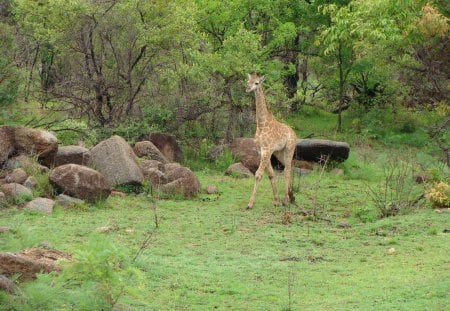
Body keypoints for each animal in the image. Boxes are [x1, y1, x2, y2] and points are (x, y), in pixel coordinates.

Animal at [244, 73, 298, 210]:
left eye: (257, 83)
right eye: (248, 81)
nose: (248, 88)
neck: (262, 124)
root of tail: (294, 133)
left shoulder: (267, 150)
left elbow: (258, 174)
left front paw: (250, 204)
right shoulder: (261, 151)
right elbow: (271, 174)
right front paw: (276, 200)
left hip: (290, 149)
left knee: (287, 170)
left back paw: (286, 200)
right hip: (280, 153)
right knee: (289, 168)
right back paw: (291, 196)